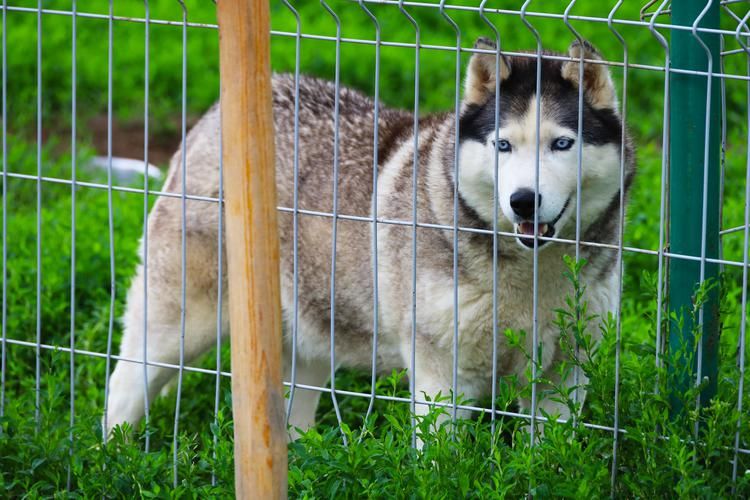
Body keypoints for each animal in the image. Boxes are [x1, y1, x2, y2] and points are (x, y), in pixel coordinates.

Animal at [106, 39, 636, 436]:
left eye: (562, 143)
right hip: (177, 327)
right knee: (123, 387)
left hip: (311, 336)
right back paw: (112, 460)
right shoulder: (440, 377)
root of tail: (214, 114)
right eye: (502, 145)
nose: (523, 201)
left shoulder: (563, 378)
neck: (530, 276)